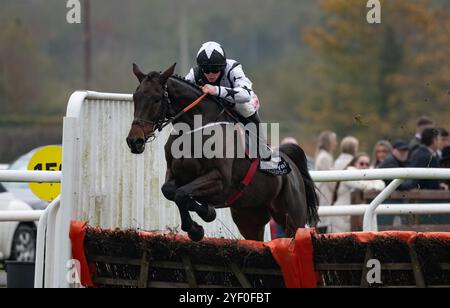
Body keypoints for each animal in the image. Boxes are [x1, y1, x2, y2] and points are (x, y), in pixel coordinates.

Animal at [125, 63, 318, 241]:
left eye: (157, 99)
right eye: (135, 97)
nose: (134, 141)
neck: (195, 130)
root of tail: (291, 166)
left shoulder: (219, 179)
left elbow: (181, 194)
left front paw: (199, 223)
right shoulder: (174, 173)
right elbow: (170, 191)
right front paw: (201, 218)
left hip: (292, 217)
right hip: (249, 216)